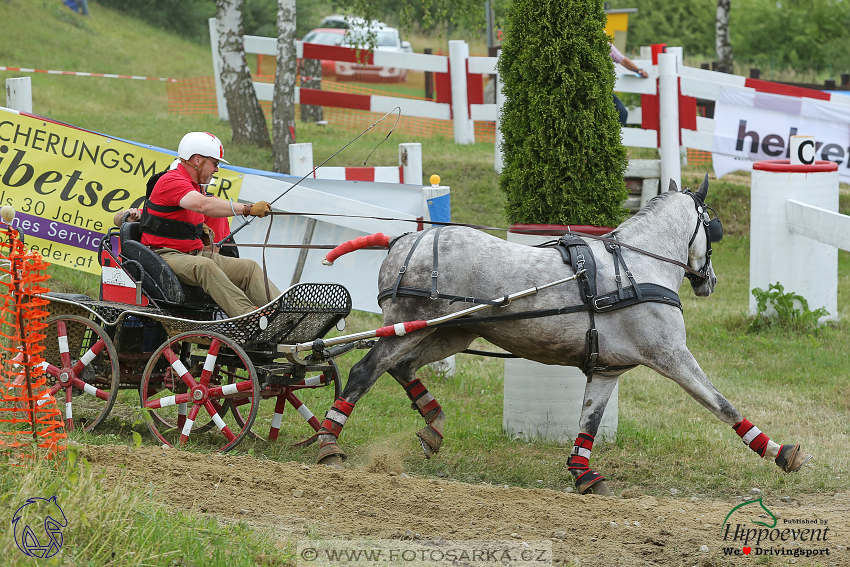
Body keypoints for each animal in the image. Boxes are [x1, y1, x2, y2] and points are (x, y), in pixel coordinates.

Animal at [312, 178, 808, 492]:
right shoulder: (671, 355)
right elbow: (721, 404)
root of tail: (400, 242)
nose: (711, 282)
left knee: (402, 368)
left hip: (446, 333)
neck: (637, 268)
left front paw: (583, 473)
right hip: (409, 328)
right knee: (364, 371)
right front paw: (778, 451)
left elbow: (589, 421)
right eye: (712, 226)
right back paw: (329, 443)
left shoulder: (608, 370)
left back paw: (432, 425)